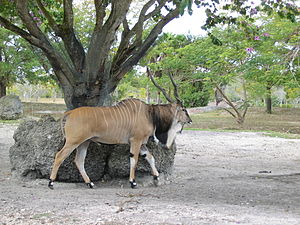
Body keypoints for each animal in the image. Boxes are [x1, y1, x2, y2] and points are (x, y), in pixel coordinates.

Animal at [48, 68, 191, 190]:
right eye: (183, 109)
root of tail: (70, 113)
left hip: (84, 142)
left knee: (79, 160)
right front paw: (133, 182)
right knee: (59, 156)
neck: (149, 113)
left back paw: (90, 183)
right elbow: (134, 159)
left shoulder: (141, 143)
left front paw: (156, 177)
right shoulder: (136, 141)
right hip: (73, 141)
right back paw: (51, 182)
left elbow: (150, 157)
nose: (190, 120)